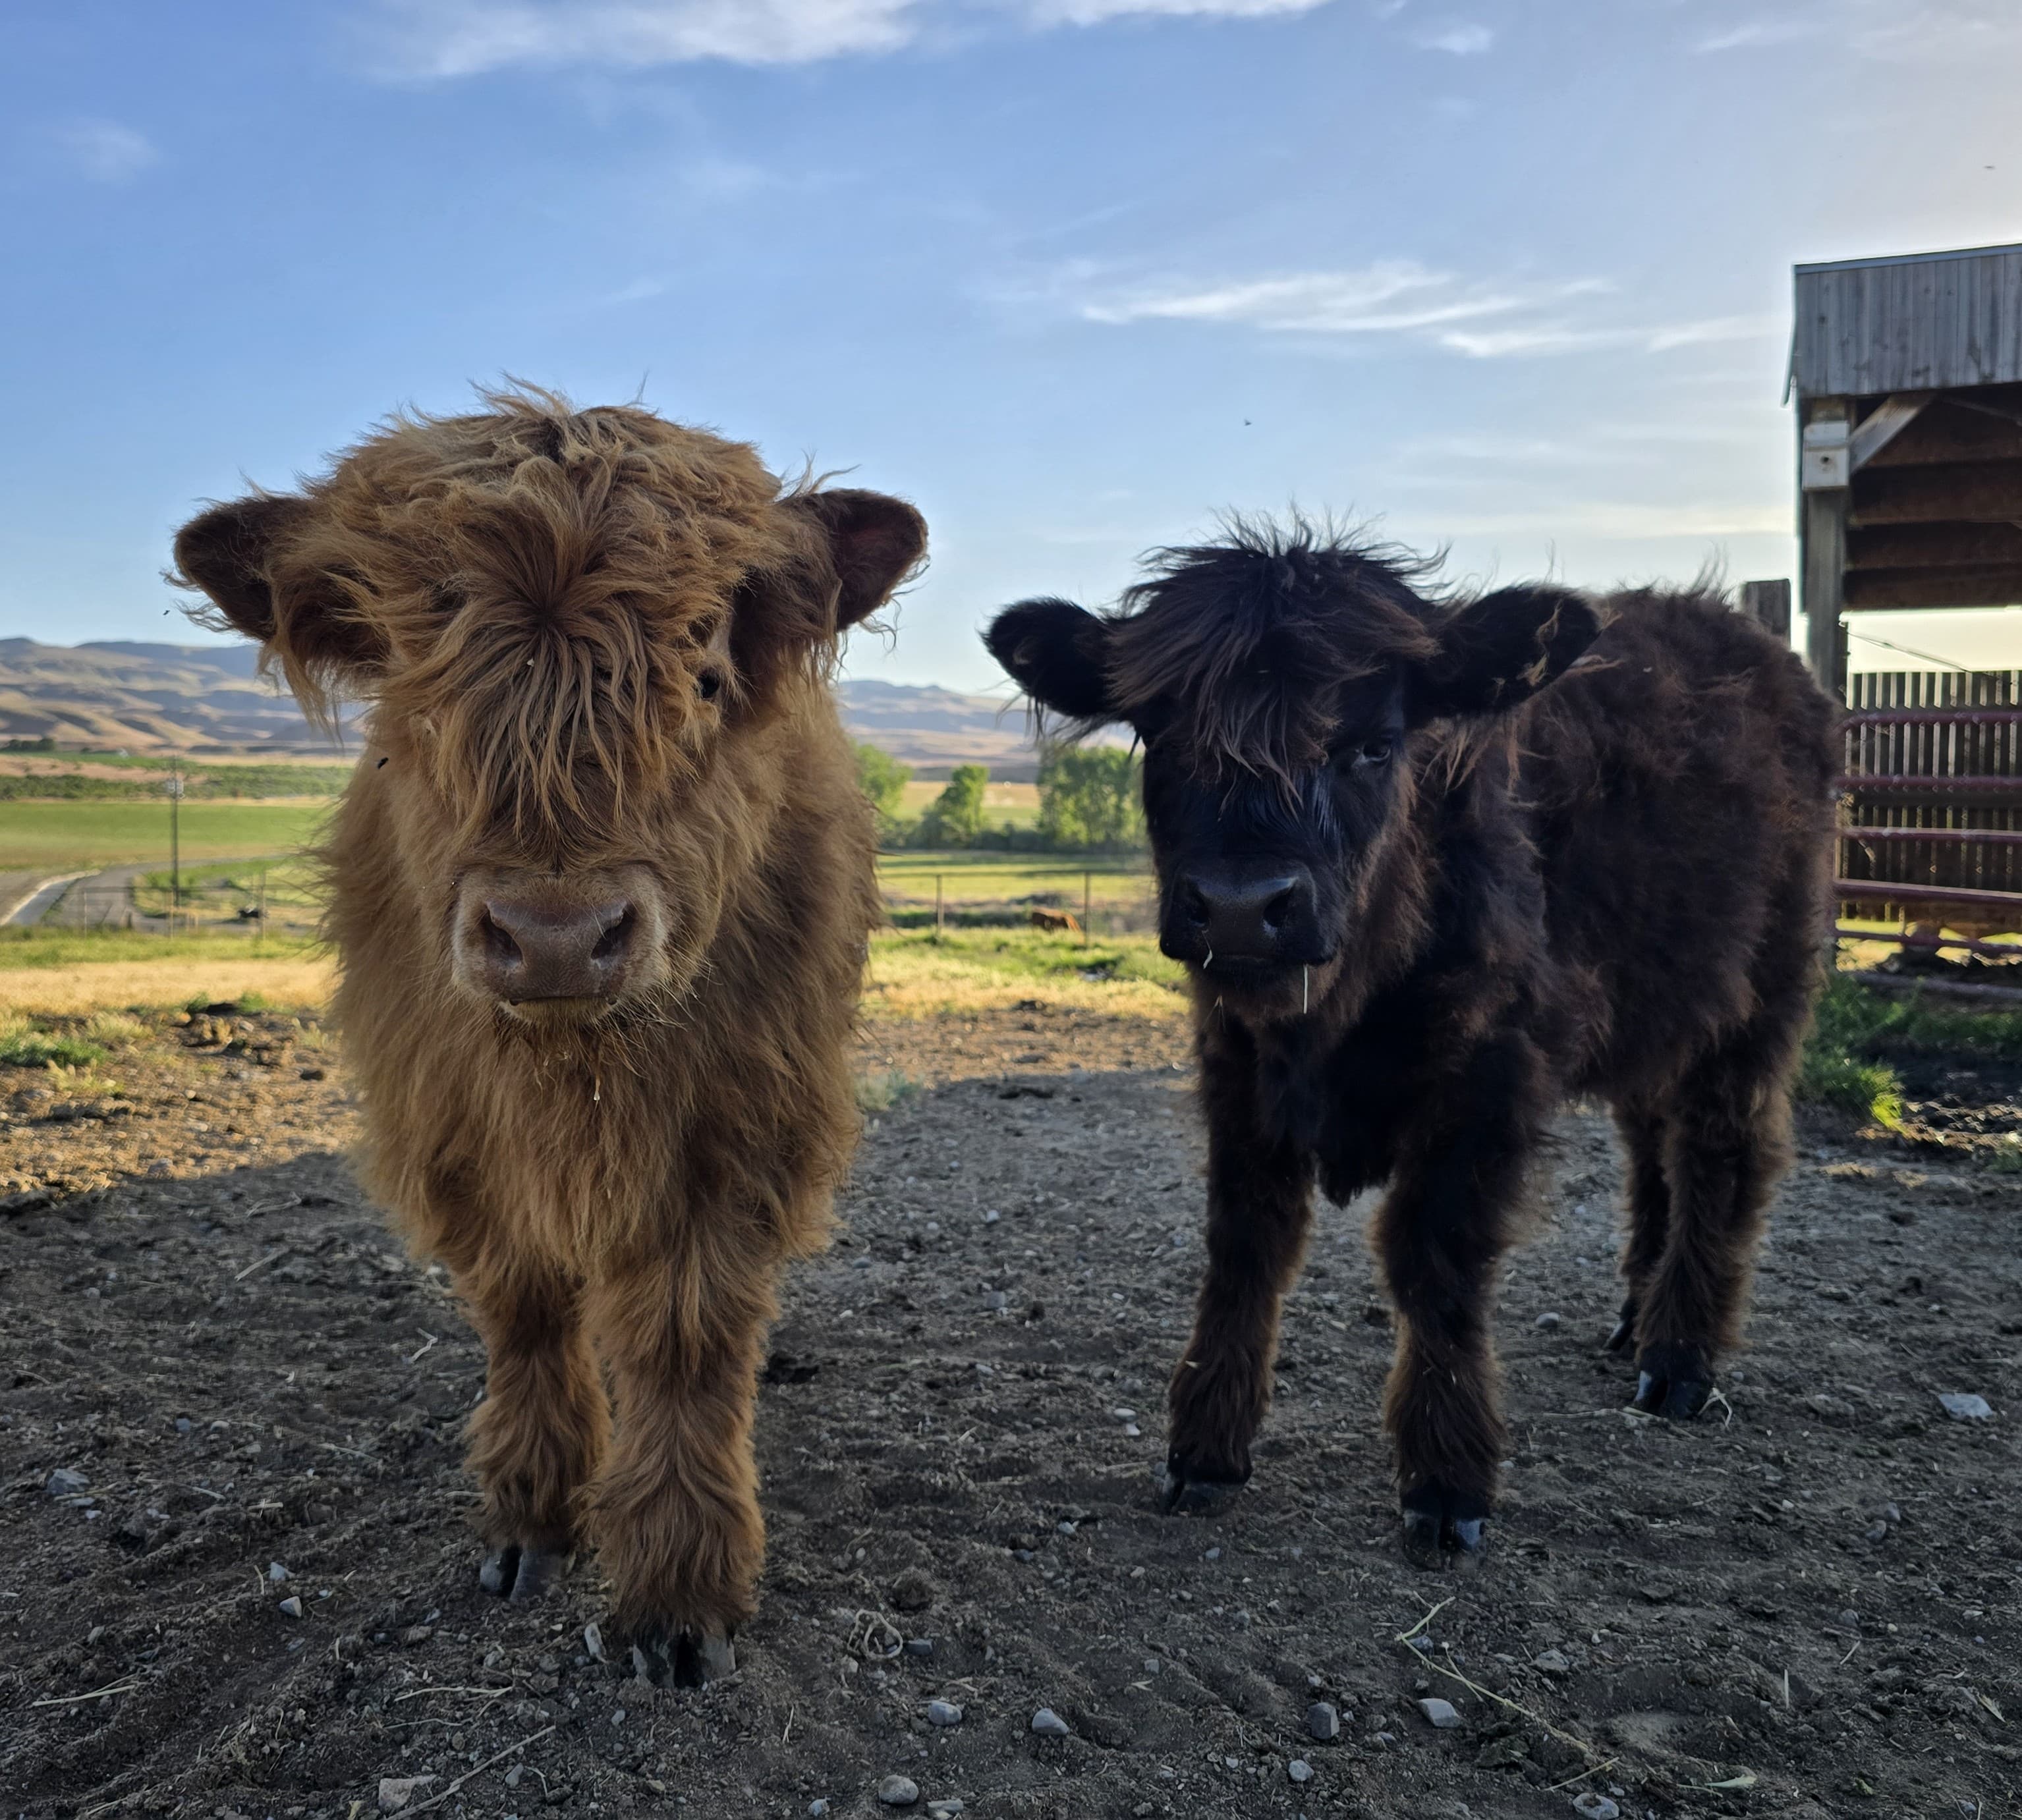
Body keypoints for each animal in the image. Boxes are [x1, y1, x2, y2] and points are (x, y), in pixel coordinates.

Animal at [173, 391, 925, 1680]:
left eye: (707, 677)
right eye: (414, 696)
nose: (558, 936)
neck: (571, 1072)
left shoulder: (738, 1129)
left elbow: (684, 1339)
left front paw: (678, 1588)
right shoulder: (451, 1127)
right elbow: (522, 1306)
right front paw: (530, 1512)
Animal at [984, 521, 1835, 1567]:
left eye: (1373, 743)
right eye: (1163, 737)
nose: (1241, 907)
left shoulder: (1489, 1076)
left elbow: (1436, 1258)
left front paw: (1446, 1481)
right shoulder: (1235, 1065)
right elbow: (1246, 1244)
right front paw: (1207, 1447)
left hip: (1762, 990)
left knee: (1722, 1147)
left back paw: (1680, 1358)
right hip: (1656, 1005)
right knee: (1654, 1144)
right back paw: (1638, 1321)